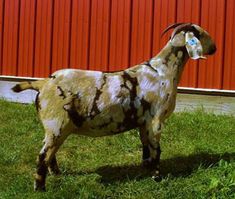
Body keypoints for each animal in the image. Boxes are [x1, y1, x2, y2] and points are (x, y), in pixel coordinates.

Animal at [11, 23, 216, 191]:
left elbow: (145, 146)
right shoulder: (156, 120)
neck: (162, 72)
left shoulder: (144, 122)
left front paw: (145, 168)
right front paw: (157, 177)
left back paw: (57, 175)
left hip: (58, 129)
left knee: (50, 153)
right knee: (43, 155)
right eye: (201, 33)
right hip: (56, 124)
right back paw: (40, 188)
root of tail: (43, 83)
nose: (214, 47)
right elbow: (156, 150)